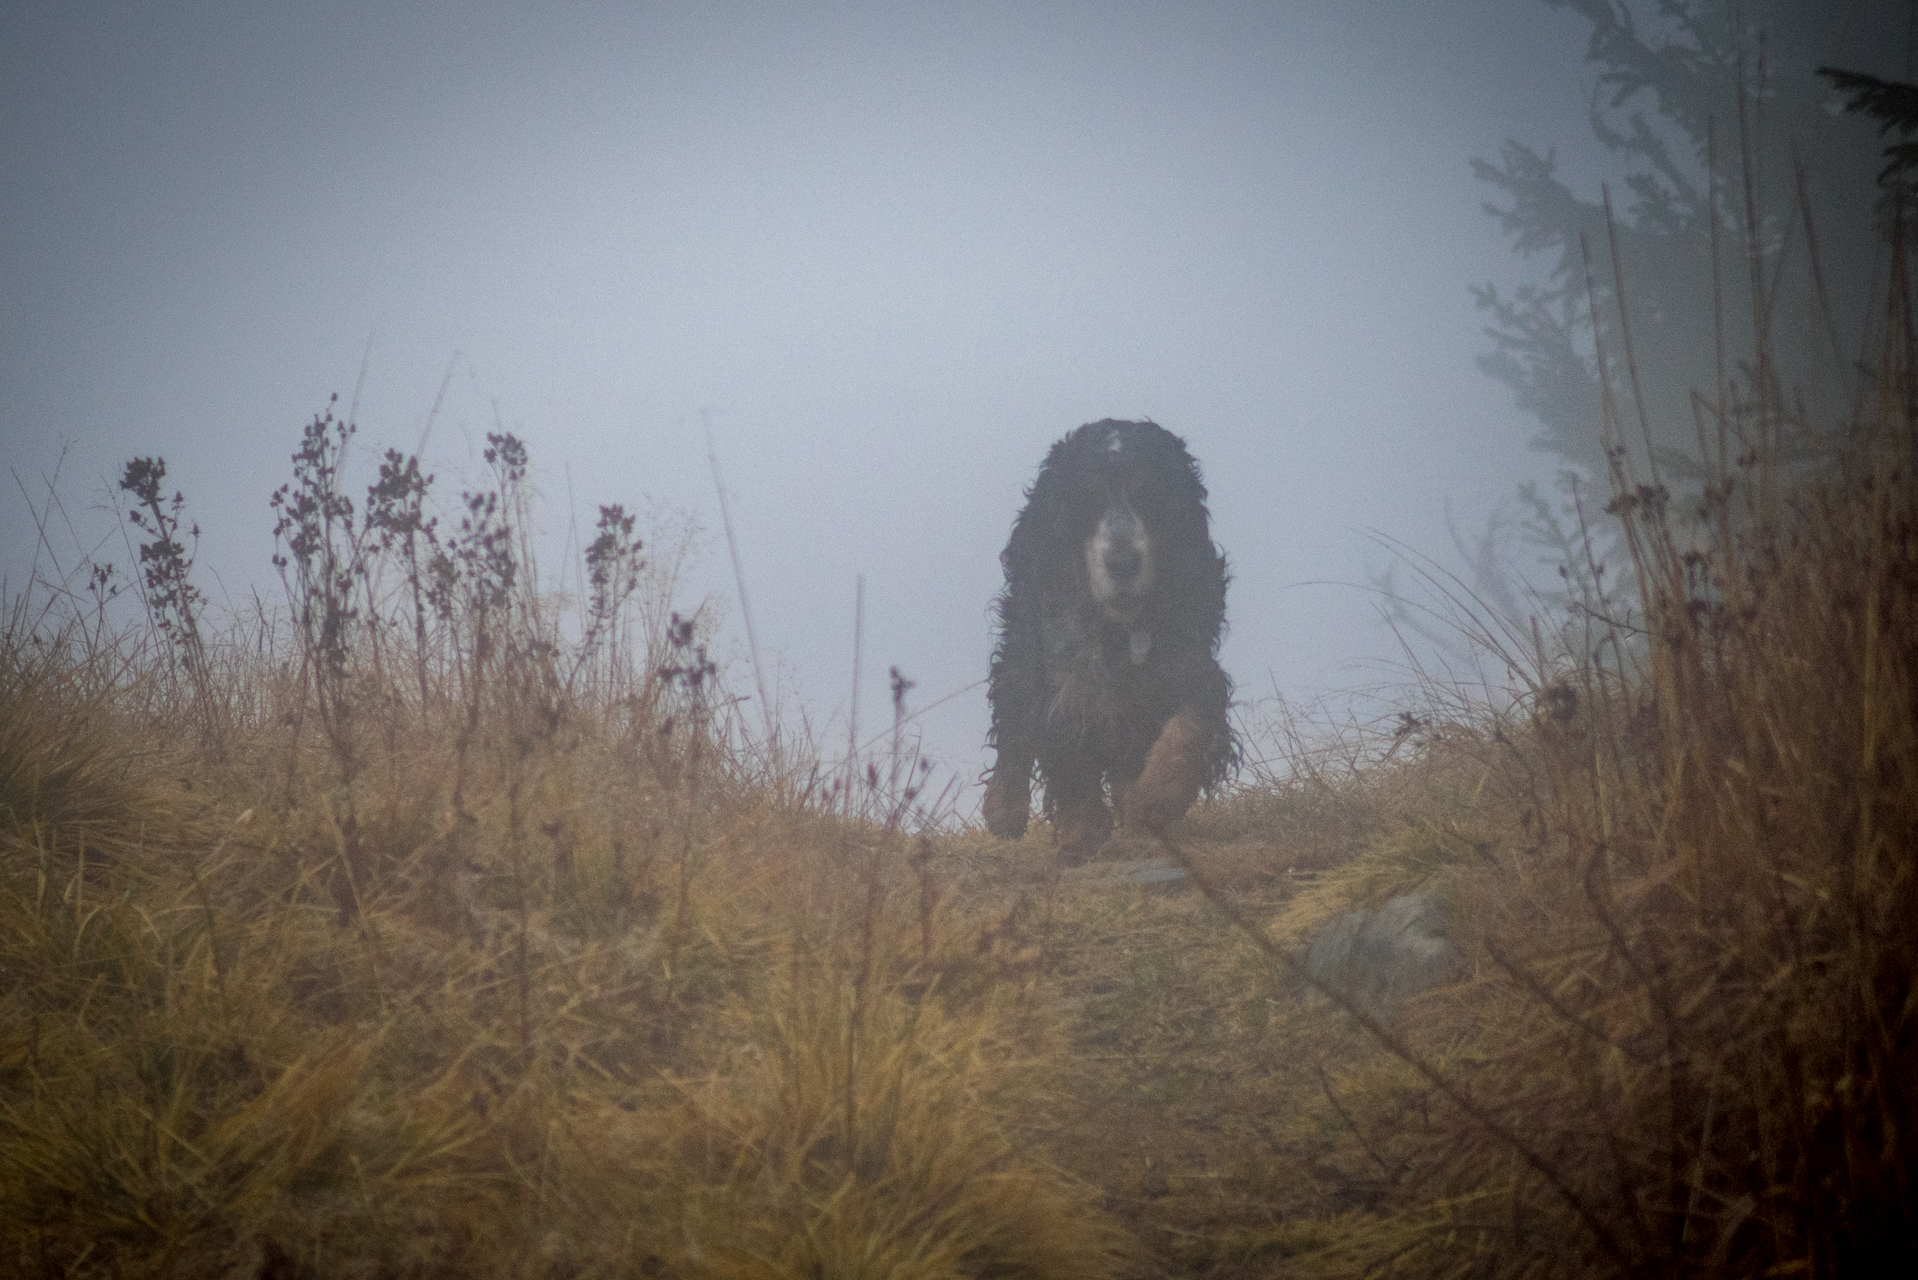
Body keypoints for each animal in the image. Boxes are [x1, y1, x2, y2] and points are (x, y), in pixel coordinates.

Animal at [982, 420, 1235, 859]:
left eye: (1150, 495)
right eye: (1086, 502)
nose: (1122, 564)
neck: (1120, 629)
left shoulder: (1190, 670)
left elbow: (1192, 727)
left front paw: (1157, 798)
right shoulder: (1068, 685)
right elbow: (1070, 760)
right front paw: (1082, 835)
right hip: (1025, 646)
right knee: (1014, 718)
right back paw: (1003, 809)